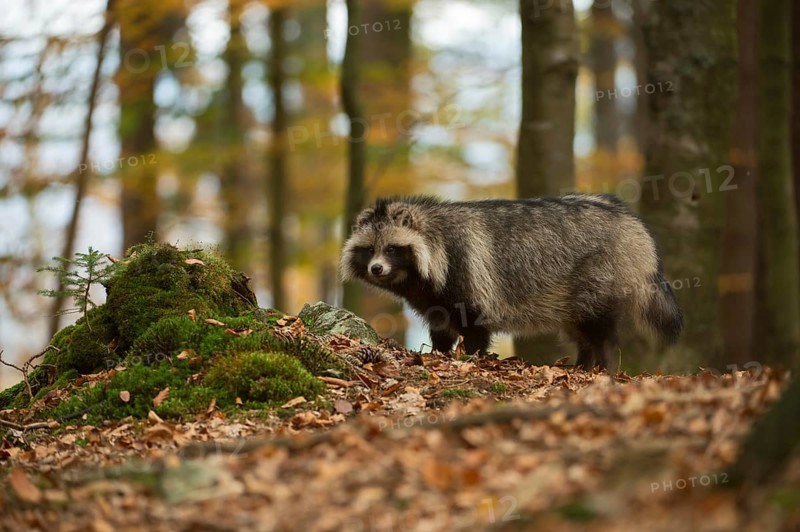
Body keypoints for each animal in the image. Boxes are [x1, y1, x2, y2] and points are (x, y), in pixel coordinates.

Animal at [340, 194, 683, 369]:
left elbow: (475, 326)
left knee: (598, 328)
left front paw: (471, 358)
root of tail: (634, 224)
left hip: (599, 272)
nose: (377, 269)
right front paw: (440, 353)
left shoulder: (464, 267)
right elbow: (440, 327)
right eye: (369, 250)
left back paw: (601, 364)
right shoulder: (434, 297)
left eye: (392, 249)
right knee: (580, 328)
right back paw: (583, 362)